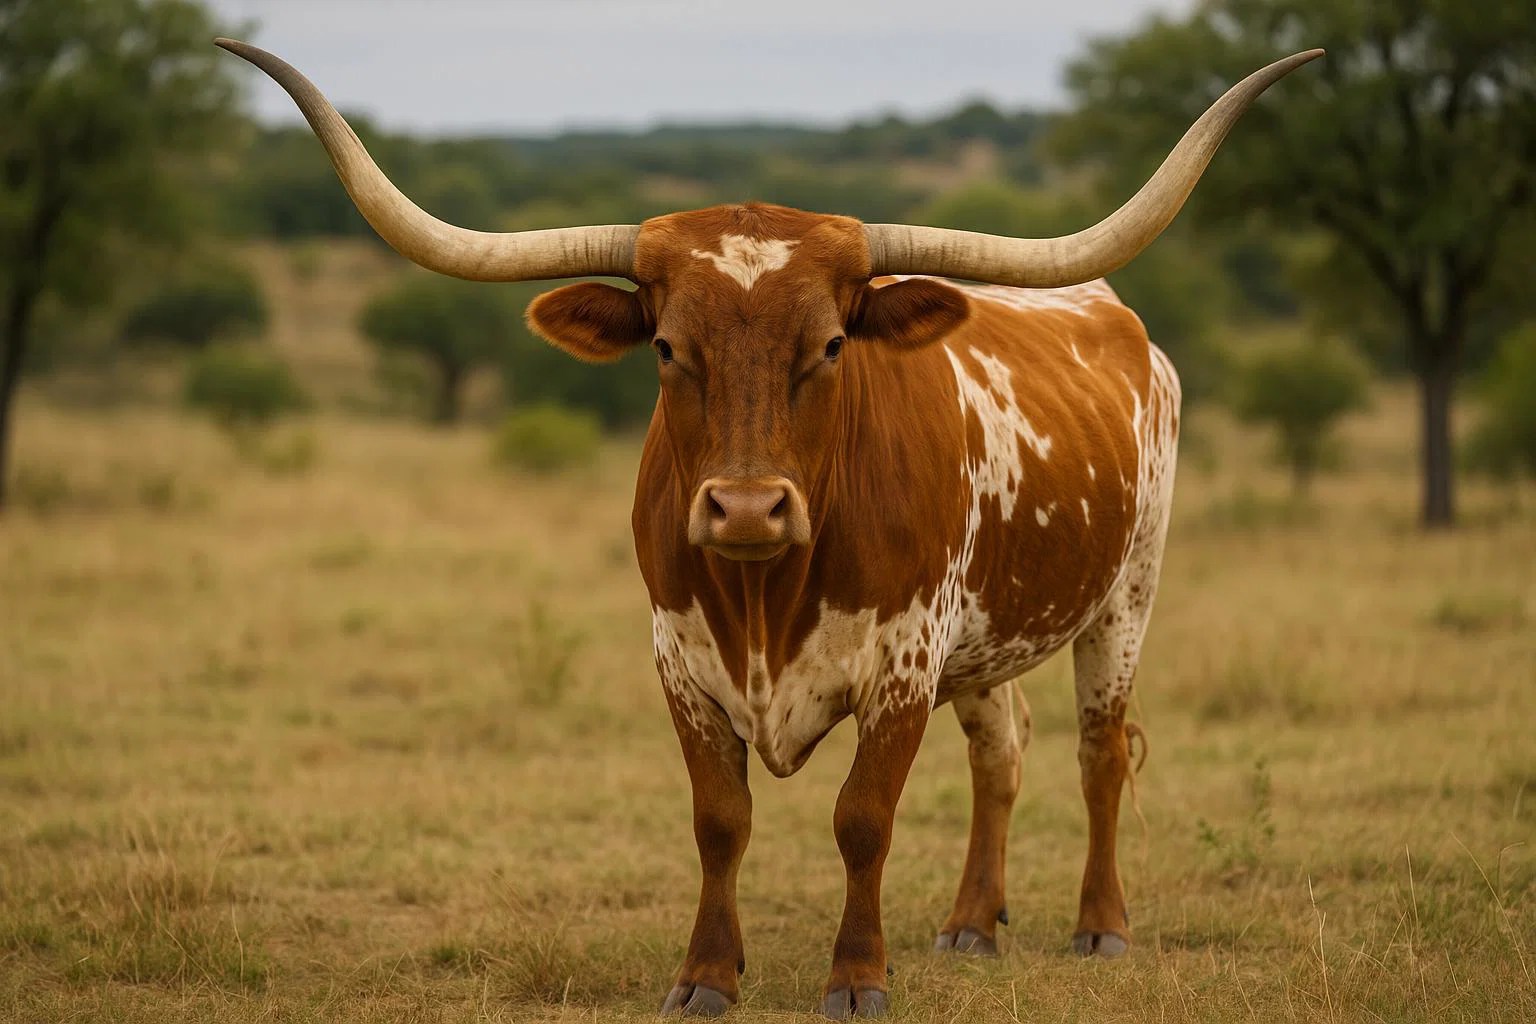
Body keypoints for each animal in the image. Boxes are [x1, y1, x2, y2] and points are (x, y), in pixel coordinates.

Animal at [217, 39, 1320, 1019]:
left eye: (830, 345)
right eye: (667, 346)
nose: (747, 507)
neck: (765, 596)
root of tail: (1117, 316)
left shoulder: (903, 665)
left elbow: (862, 821)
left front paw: (858, 980)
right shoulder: (681, 661)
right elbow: (721, 822)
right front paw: (709, 974)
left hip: (1126, 595)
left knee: (1100, 749)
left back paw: (1100, 925)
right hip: (988, 642)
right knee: (1001, 751)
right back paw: (972, 922)